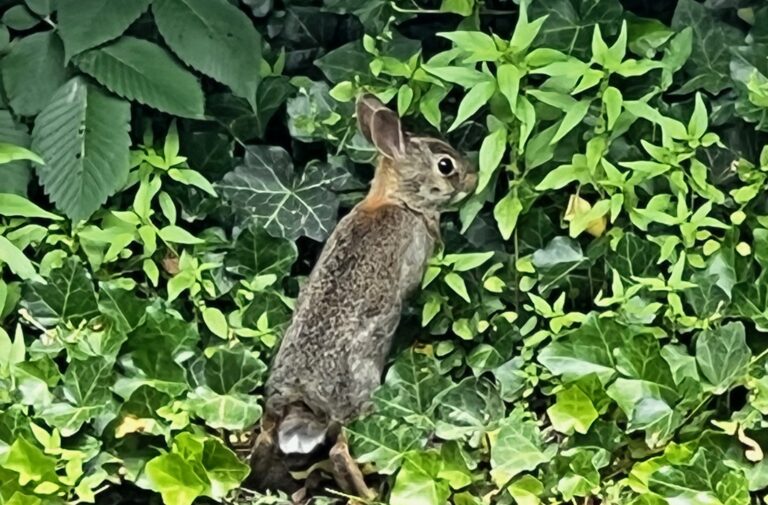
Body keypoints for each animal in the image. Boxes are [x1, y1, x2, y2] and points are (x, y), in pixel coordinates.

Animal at [249, 93, 477, 502]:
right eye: (445, 165)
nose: (473, 176)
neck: (399, 201)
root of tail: (301, 401)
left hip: (273, 419)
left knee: (264, 440)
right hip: (359, 400)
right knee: (340, 451)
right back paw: (369, 494)